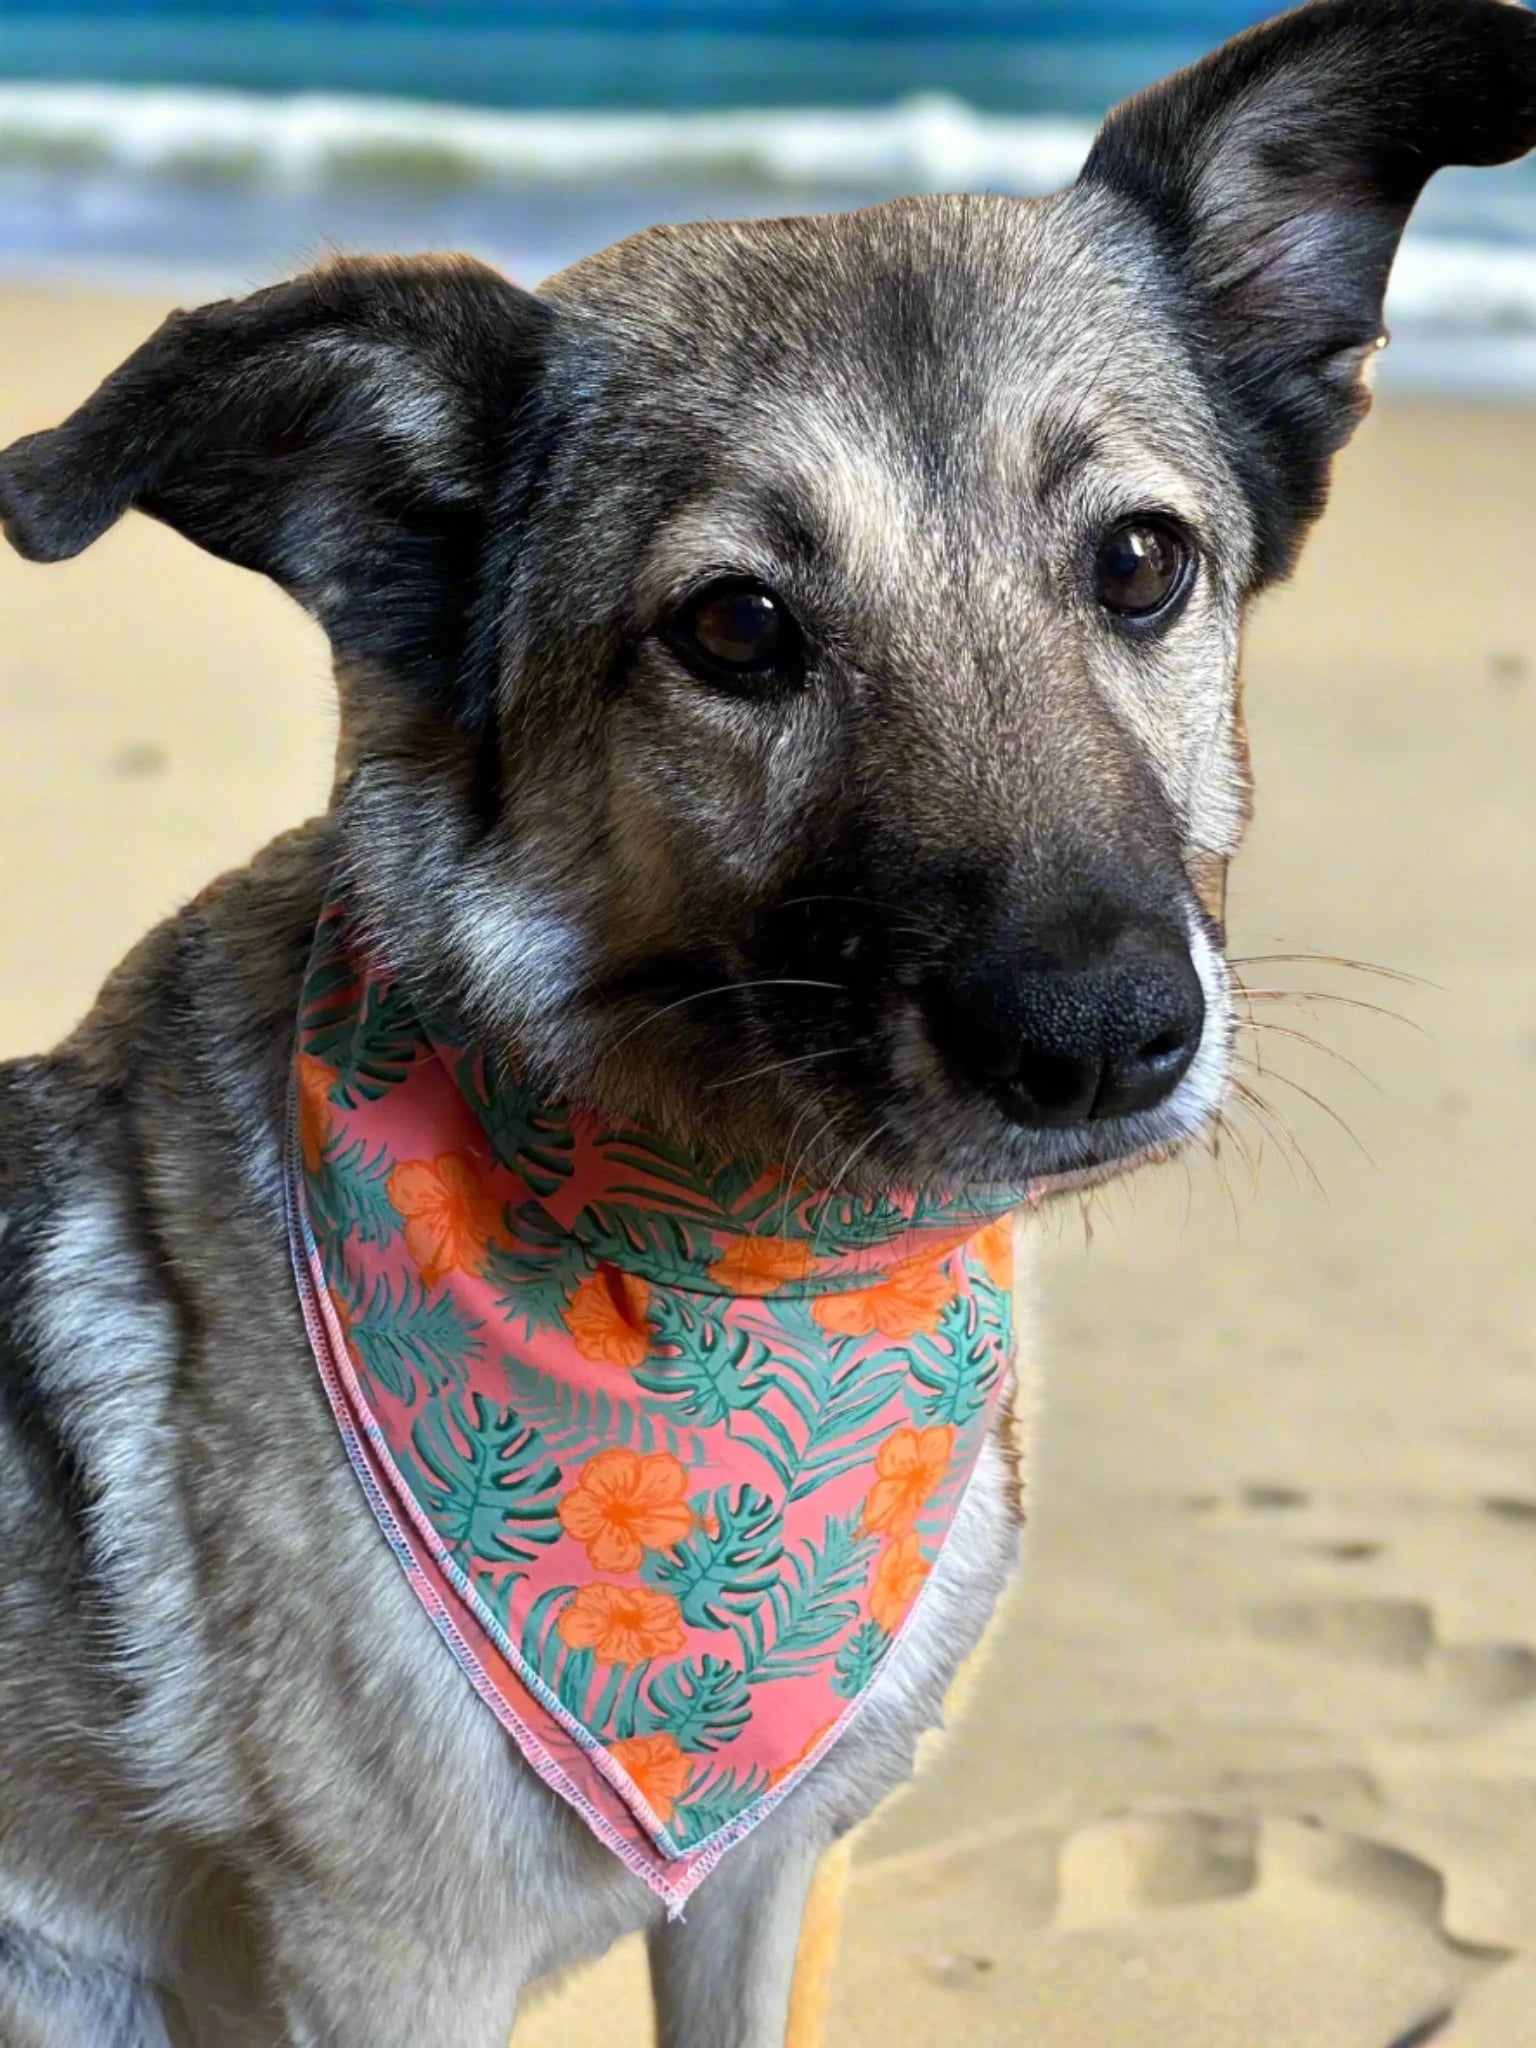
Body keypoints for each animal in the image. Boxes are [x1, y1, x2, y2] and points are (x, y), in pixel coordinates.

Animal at [3, 4, 1536, 2048]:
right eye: (734, 627)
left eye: (1141, 563)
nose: (1096, 1033)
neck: (745, 1273)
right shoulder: (390, 1962)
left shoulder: (772, 1877)